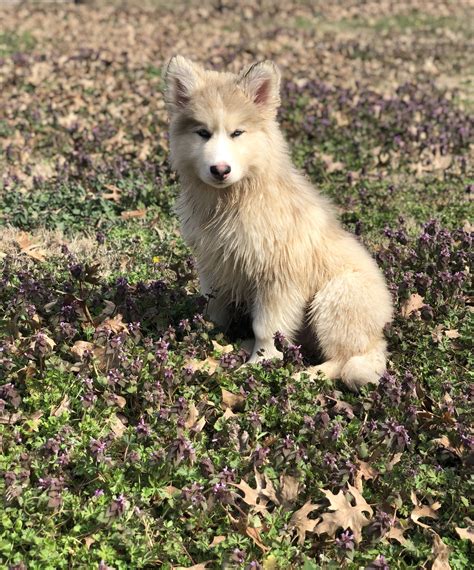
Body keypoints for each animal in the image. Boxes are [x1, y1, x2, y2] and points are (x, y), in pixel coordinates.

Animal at [163, 55, 392, 388]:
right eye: (202, 133)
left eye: (237, 133)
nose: (220, 170)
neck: (235, 200)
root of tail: (379, 335)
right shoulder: (214, 265)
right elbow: (213, 311)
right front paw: (206, 340)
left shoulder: (278, 278)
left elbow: (266, 328)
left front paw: (260, 362)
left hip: (335, 298)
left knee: (344, 359)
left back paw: (307, 376)